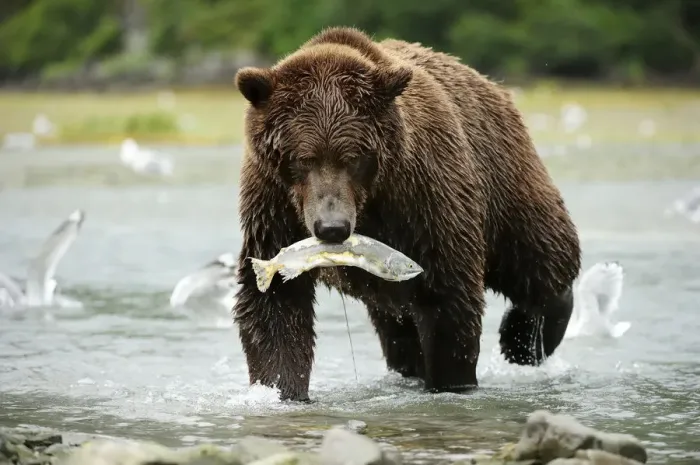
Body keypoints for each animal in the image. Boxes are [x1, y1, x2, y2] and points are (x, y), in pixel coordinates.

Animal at [232, 26, 581, 402]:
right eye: (302, 158)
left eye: (353, 158)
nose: (332, 227)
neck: (370, 200)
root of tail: (489, 83)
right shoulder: (273, 207)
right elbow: (275, 305)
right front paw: (280, 390)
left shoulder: (423, 196)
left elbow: (448, 295)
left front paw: (450, 381)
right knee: (397, 326)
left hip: (503, 175)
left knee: (536, 257)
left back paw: (523, 338)